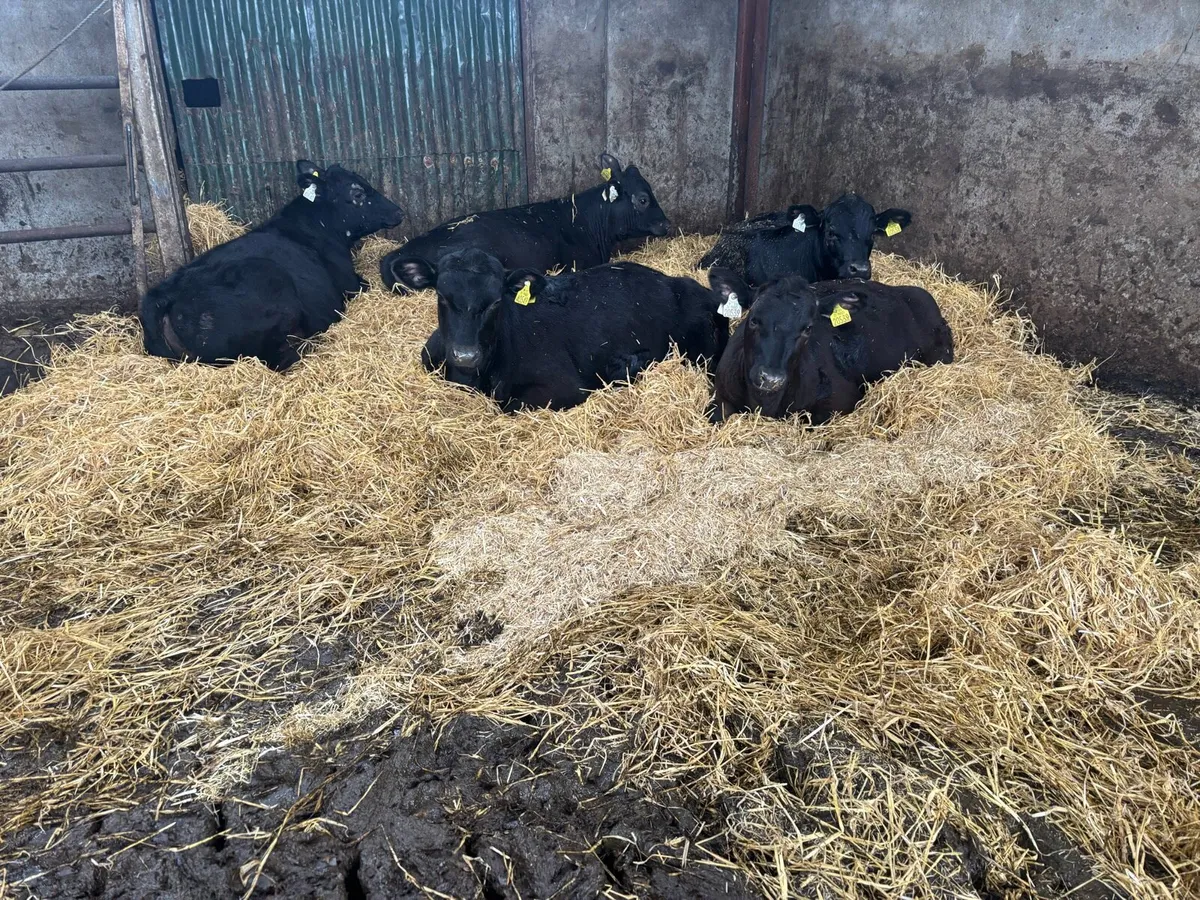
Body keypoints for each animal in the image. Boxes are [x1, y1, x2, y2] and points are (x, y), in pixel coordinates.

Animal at [706, 268, 953, 423]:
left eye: (807, 328)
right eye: (754, 320)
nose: (770, 379)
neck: (765, 402)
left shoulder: (840, 401)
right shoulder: (720, 395)